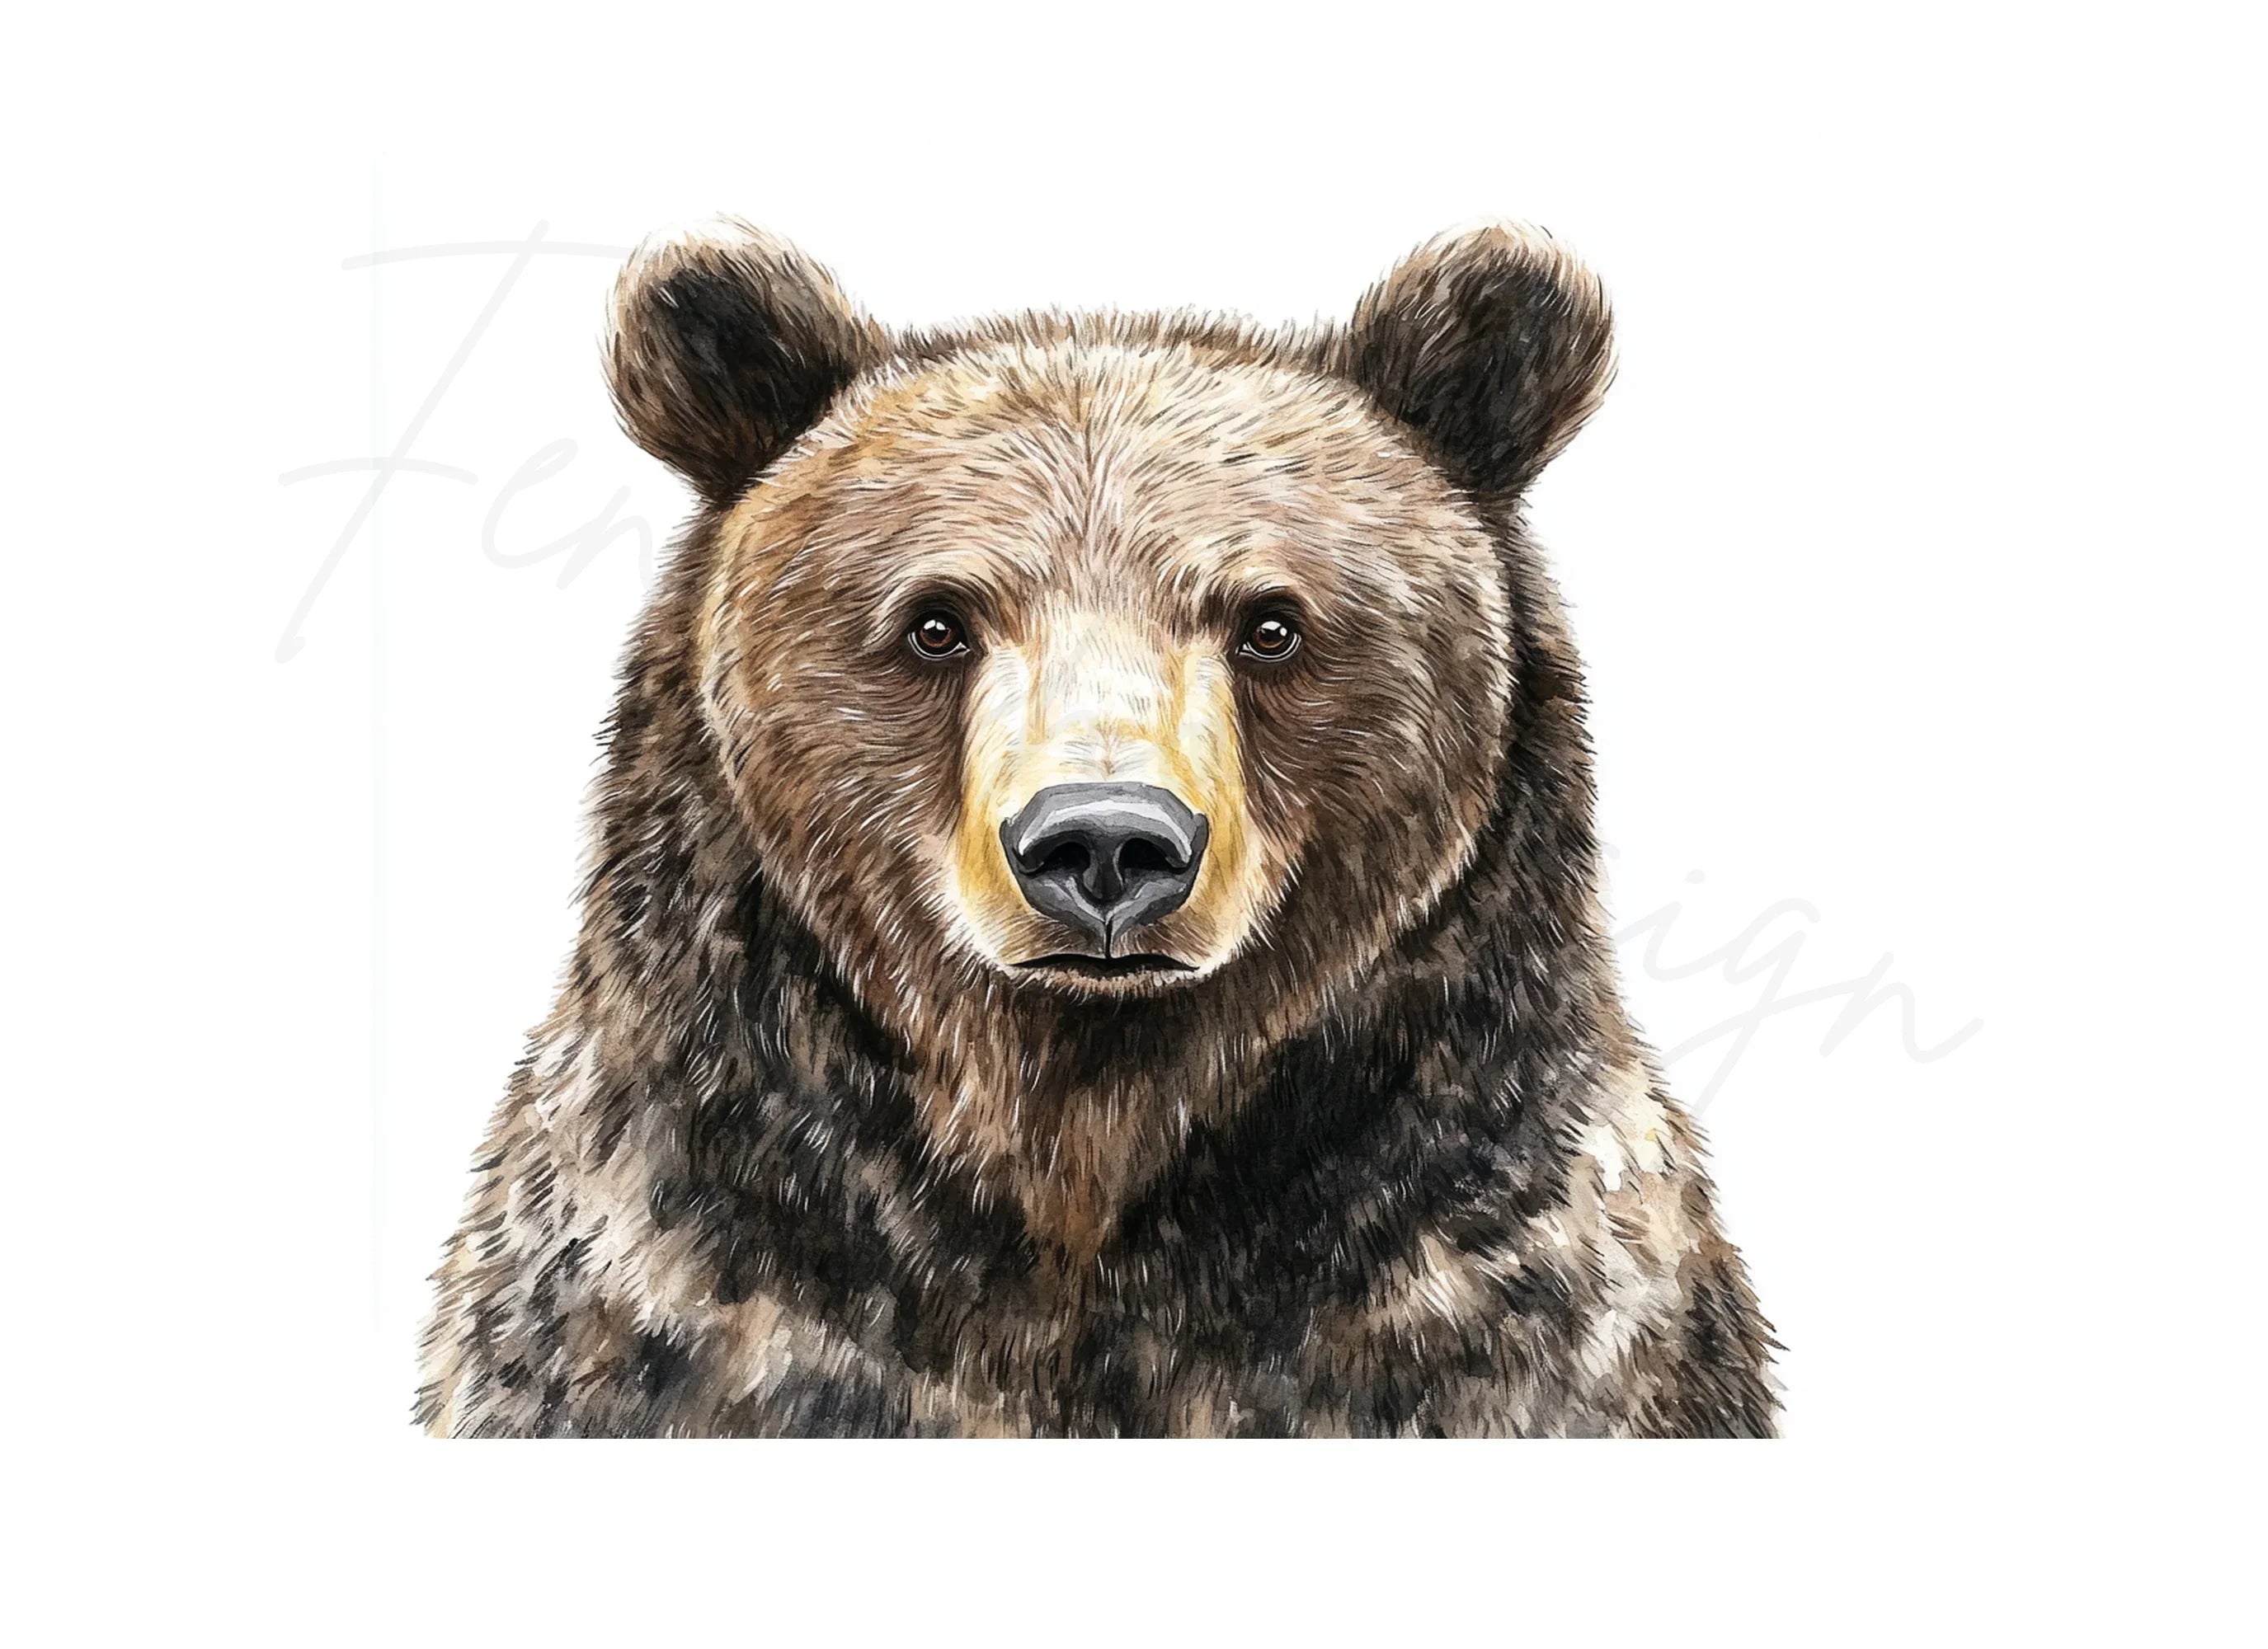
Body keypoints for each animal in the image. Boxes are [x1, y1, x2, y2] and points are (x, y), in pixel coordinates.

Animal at [416, 218, 1778, 1437]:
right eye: (936, 622)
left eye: (1270, 622)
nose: (1107, 846)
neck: (1081, 1152)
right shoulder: (692, 1297)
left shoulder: (1484, 1303)